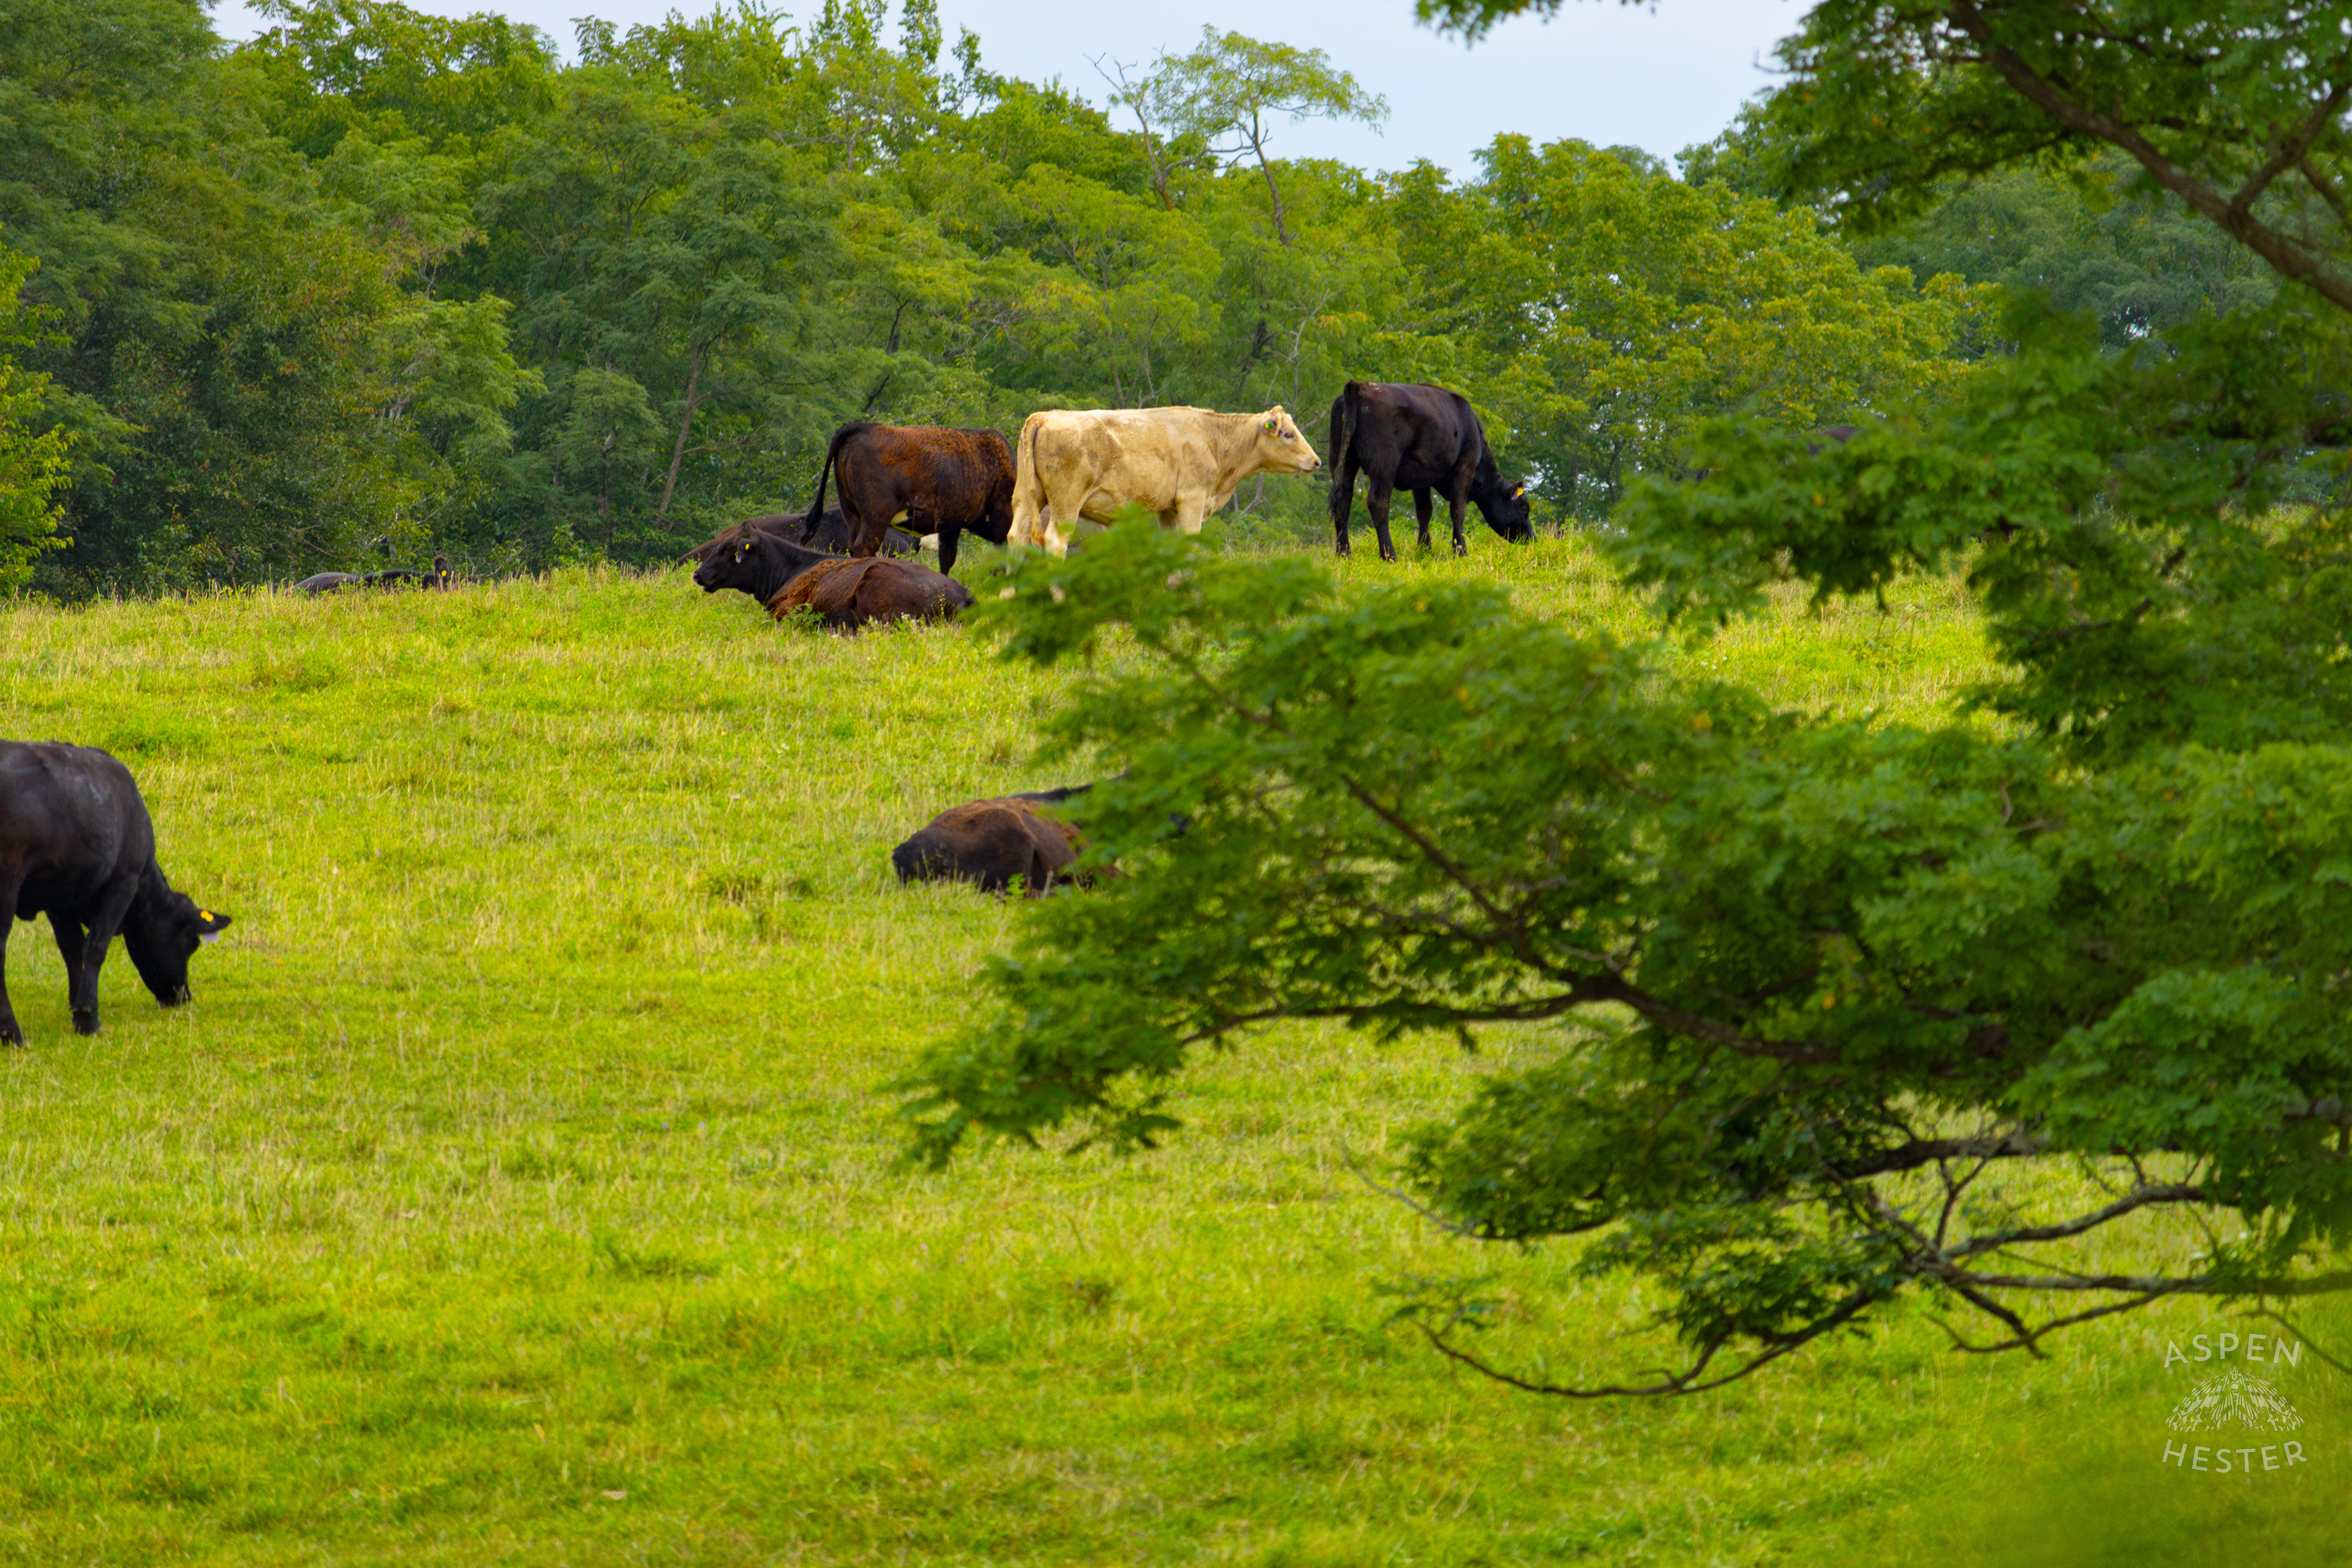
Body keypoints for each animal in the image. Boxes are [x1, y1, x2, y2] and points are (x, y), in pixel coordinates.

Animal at [0, 742, 231, 1046]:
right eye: (192, 944)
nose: (183, 996)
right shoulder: (124, 881)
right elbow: (96, 947)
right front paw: (88, 1020)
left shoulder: (62, 897)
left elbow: (72, 948)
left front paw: (77, 1007)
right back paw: (12, 1034)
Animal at [804, 423, 1017, 573]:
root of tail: (862, 426)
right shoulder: (1001, 517)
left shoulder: (951, 525)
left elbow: (946, 560)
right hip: (876, 516)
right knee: (864, 548)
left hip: (852, 514)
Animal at [1009, 405, 1322, 556]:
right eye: (1288, 434)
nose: (1317, 461)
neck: (1213, 438)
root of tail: (1047, 416)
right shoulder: (1192, 500)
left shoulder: (1169, 509)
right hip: (1067, 503)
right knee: (1054, 541)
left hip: (1026, 498)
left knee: (1017, 538)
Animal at [1326, 382, 1532, 560]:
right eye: (1524, 508)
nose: (1532, 538)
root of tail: (1359, 386)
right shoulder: (1466, 467)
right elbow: (1458, 510)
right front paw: (1461, 551)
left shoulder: (1421, 477)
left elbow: (1424, 511)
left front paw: (1424, 549)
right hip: (1384, 463)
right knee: (1379, 502)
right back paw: (1389, 555)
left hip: (1342, 459)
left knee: (1343, 500)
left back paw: (1344, 553)